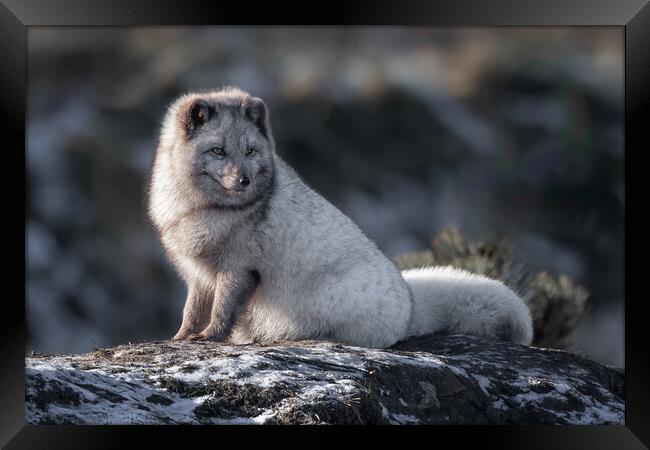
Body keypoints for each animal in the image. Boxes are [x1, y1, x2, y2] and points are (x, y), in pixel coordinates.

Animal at [147, 88, 532, 348]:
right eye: (218, 151)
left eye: (251, 151)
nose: (244, 180)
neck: (204, 210)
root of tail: (410, 305)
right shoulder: (197, 275)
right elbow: (192, 310)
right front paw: (180, 337)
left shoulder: (237, 269)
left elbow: (222, 311)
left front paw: (209, 337)